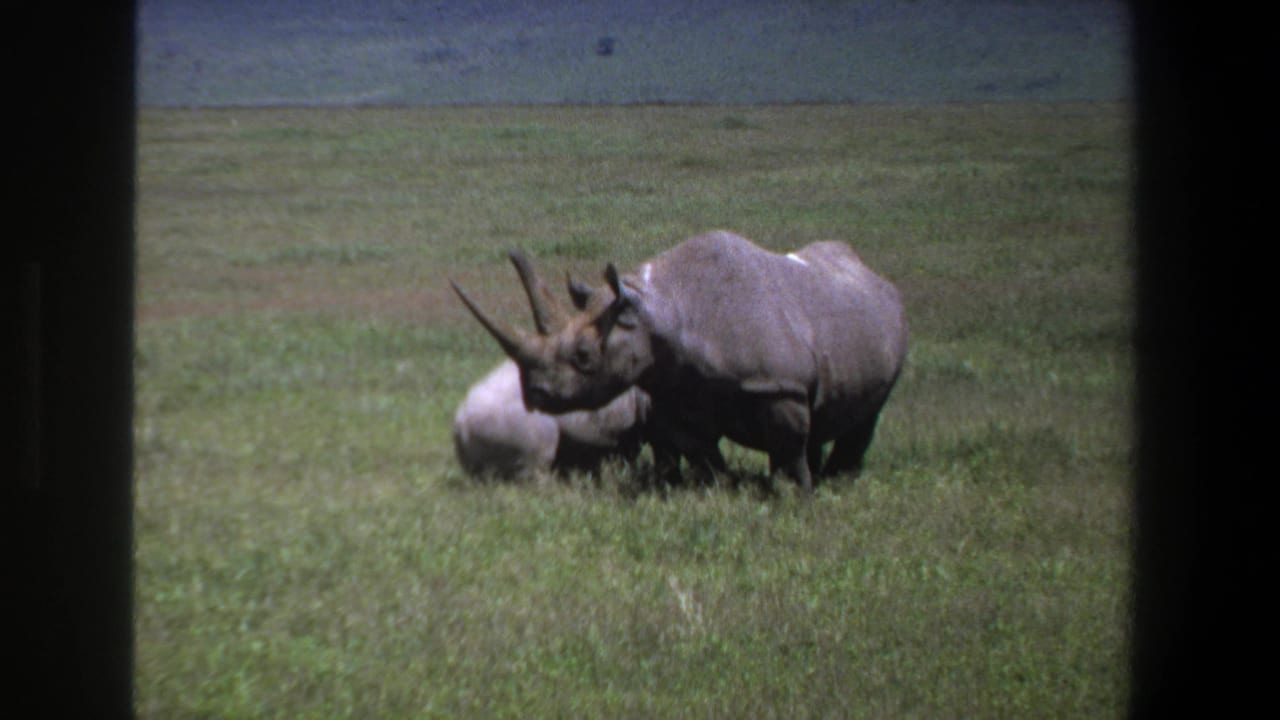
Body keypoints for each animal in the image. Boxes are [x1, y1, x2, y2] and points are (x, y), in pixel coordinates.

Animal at [452, 230, 907, 492]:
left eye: (583, 356)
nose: (535, 394)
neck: (663, 310)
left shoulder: (778, 385)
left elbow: (787, 445)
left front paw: (794, 495)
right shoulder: (676, 392)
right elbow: (699, 451)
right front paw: (717, 489)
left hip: (879, 321)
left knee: (868, 410)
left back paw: (838, 480)